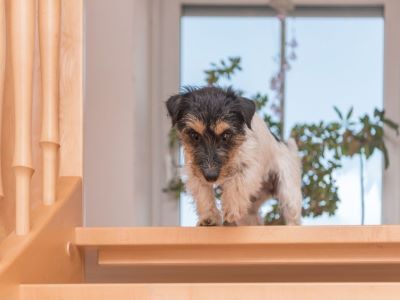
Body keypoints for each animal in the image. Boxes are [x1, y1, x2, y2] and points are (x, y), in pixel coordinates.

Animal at [167, 86, 302, 225]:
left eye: (226, 135)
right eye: (195, 136)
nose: (211, 176)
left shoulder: (249, 167)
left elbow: (237, 183)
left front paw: (231, 208)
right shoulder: (194, 171)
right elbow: (203, 193)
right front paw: (209, 217)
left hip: (289, 193)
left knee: (293, 217)